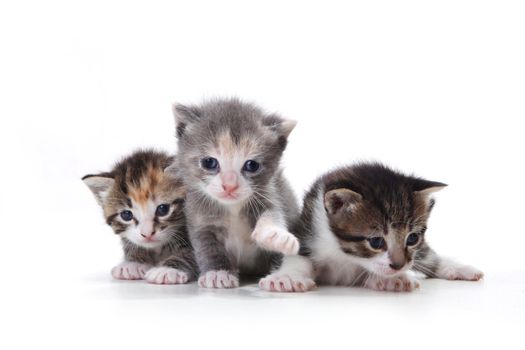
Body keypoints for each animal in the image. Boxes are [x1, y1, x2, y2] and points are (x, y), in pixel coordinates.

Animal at [172, 97, 298, 288]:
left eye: (251, 165)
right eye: (209, 162)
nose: (230, 185)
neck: (232, 208)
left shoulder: (270, 193)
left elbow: (273, 213)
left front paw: (274, 235)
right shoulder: (199, 220)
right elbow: (208, 247)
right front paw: (218, 273)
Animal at [260, 163, 486, 292]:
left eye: (412, 238)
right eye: (376, 241)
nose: (399, 266)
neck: (345, 254)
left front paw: (393, 279)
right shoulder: (307, 231)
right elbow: (297, 257)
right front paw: (286, 278)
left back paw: (460, 269)